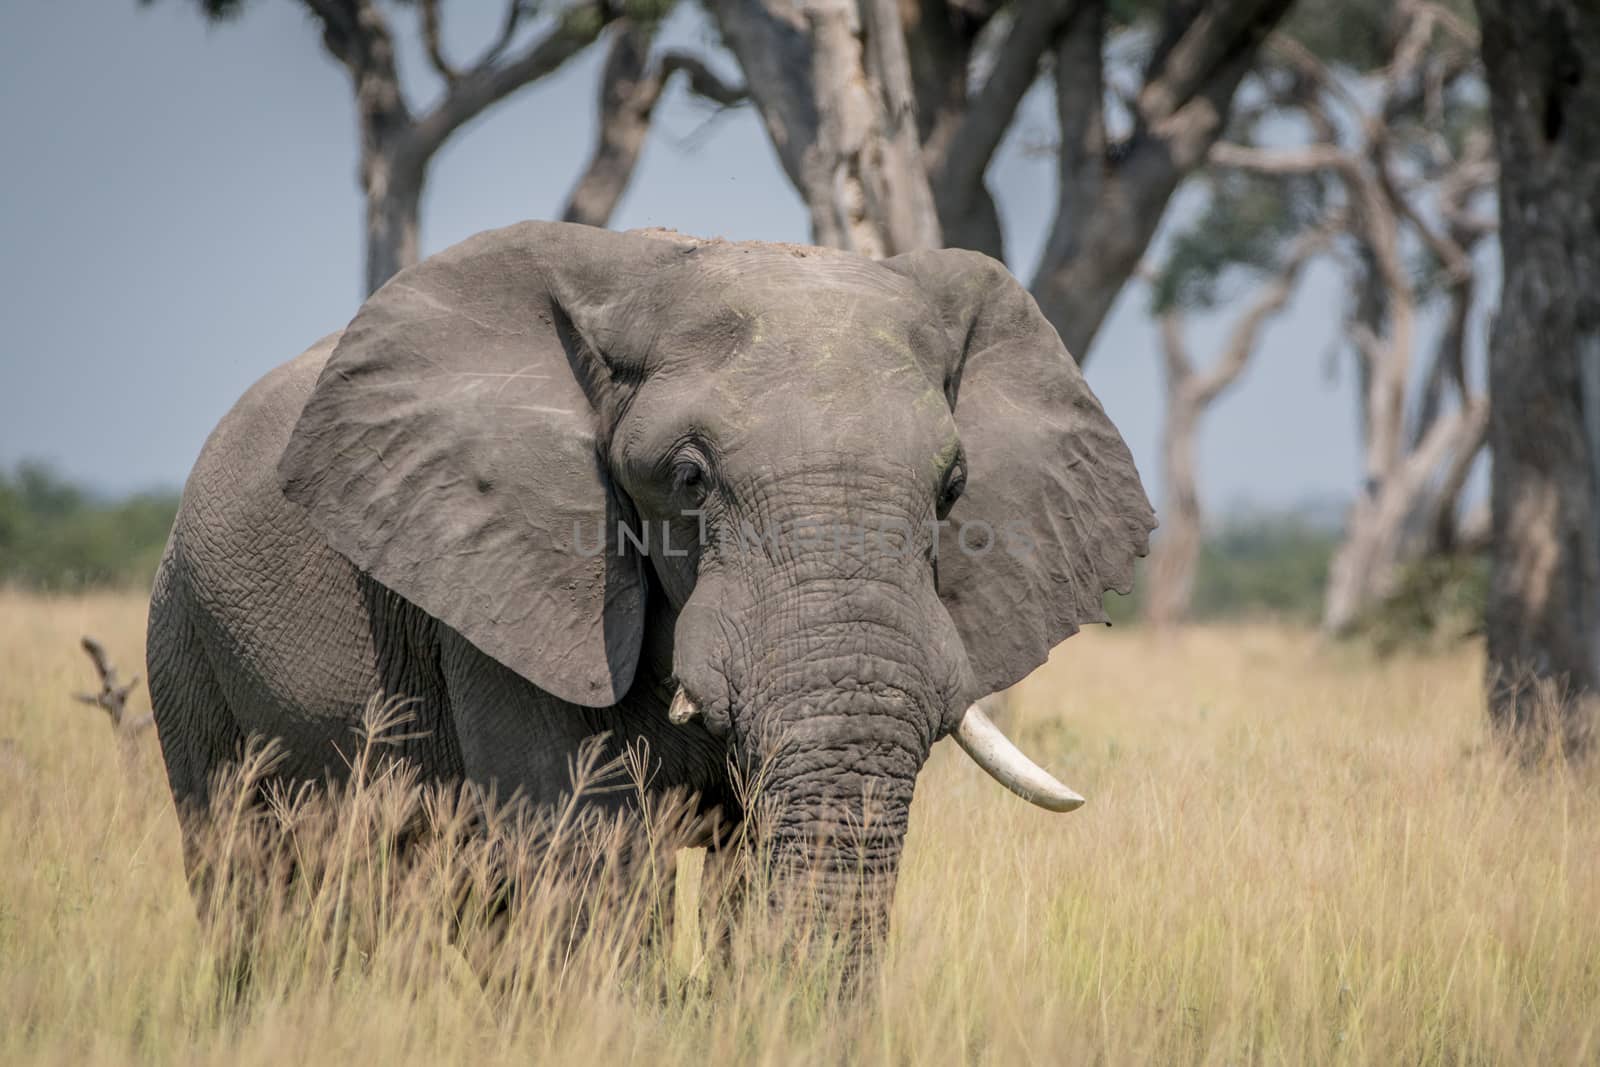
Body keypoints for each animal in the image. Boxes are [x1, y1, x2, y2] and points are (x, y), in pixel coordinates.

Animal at [147, 220, 1152, 947]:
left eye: (952, 488)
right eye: (690, 477)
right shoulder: (507, 595)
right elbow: (589, 857)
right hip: (186, 646)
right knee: (248, 877)